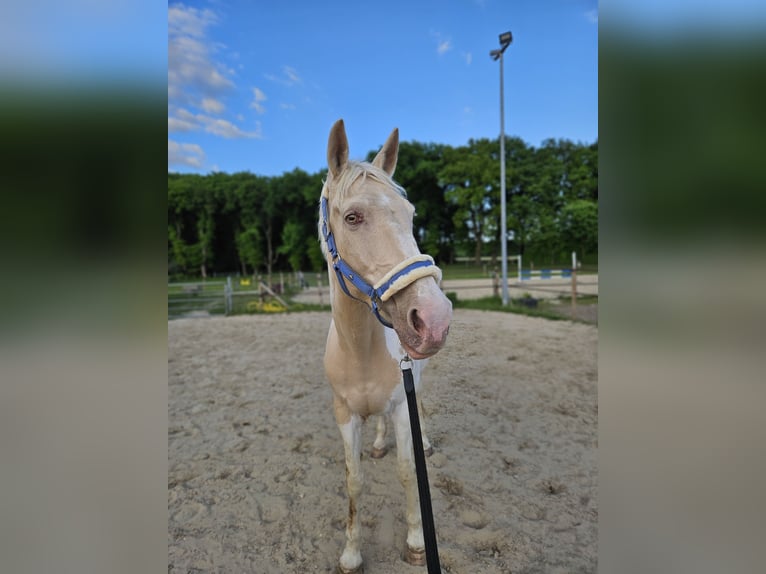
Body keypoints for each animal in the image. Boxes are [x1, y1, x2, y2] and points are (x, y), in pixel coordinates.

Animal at [319, 119, 452, 573]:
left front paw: (415, 542)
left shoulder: (400, 408)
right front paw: (351, 553)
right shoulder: (343, 413)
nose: (434, 318)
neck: (359, 349)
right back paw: (377, 444)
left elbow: (409, 471)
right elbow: (353, 479)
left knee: (422, 408)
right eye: (353, 216)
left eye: (411, 215)